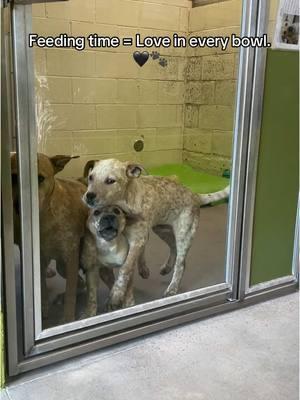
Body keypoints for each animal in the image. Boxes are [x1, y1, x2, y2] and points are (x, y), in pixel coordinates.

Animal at [11, 152, 88, 322]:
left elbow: (71, 293)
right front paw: (43, 309)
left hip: (66, 264)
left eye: (40, 178)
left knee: (79, 284)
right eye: (13, 177)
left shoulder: (70, 258)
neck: (45, 216)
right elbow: (41, 288)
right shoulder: (39, 258)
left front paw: (67, 319)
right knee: (80, 283)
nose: (18, 206)